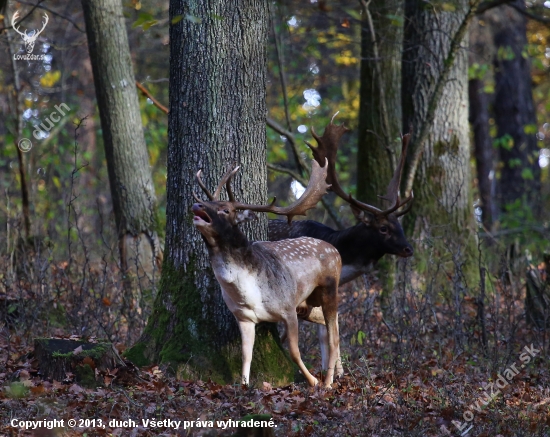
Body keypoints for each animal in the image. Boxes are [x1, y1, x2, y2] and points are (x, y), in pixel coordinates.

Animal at [192, 158, 342, 386]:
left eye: (225, 209)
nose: (197, 204)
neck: (248, 292)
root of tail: (336, 251)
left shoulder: (287, 307)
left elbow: (294, 352)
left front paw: (312, 381)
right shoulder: (244, 317)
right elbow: (246, 355)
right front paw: (244, 384)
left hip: (329, 287)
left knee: (333, 334)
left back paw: (327, 382)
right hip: (307, 304)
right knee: (331, 324)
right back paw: (338, 373)